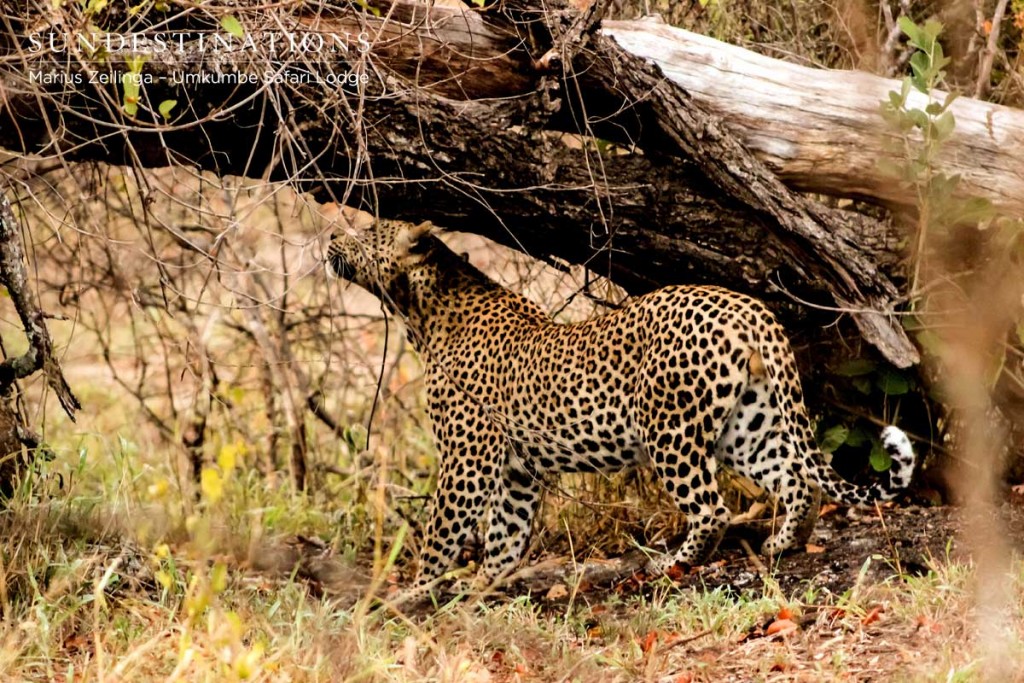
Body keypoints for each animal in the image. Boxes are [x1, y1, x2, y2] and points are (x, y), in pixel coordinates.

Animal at [323, 219, 917, 589]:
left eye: (367, 231)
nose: (329, 233)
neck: (422, 312)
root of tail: (750, 309)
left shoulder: (468, 458)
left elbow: (443, 531)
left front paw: (413, 596)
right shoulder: (518, 469)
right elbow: (506, 533)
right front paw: (487, 586)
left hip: (670, 430)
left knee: (712, 508)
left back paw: (673, 564)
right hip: (749, 424)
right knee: (796, 480)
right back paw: (784, 545)